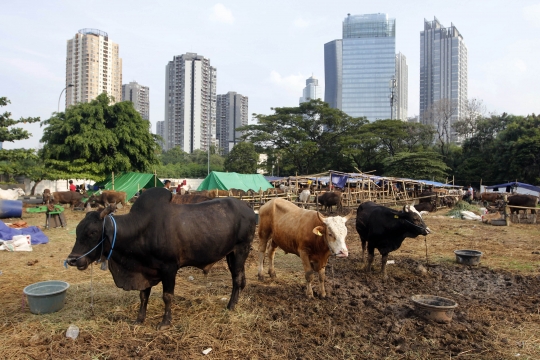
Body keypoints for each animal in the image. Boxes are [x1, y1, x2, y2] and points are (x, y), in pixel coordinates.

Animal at [66, 187, 256, 330]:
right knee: (240, 279)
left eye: (92, 232)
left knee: (237, 280)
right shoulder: (144, 270)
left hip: (241, 250)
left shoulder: (169, 268)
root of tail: (248, 206)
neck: (141, 229)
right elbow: (143, 296)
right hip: (231, 254)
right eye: (77, 230)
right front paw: (139, 319)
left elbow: (167, 296)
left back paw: (231, 306)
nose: (73, 260)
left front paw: (165, 322)